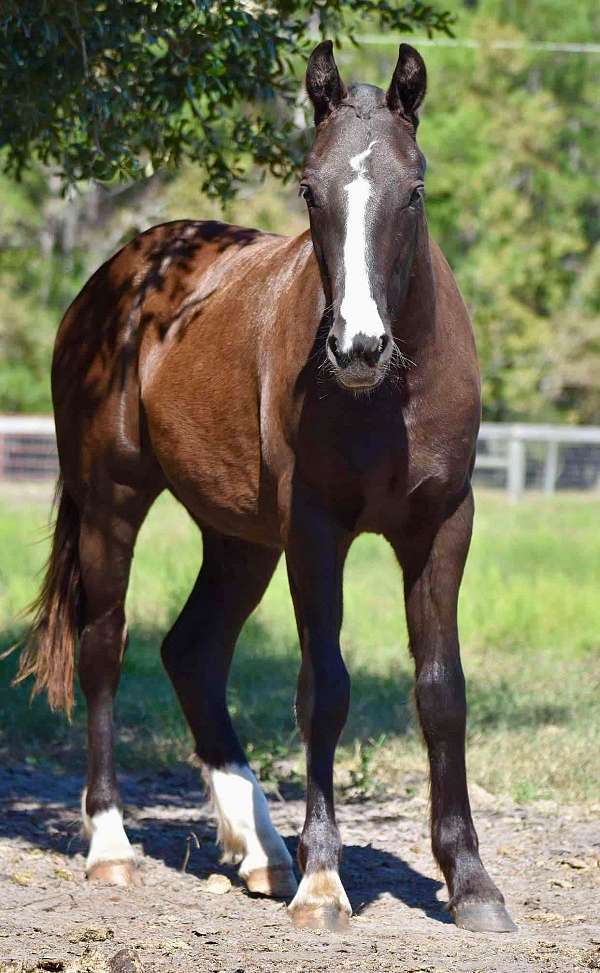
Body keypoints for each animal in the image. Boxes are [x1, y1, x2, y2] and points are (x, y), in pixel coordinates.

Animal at [18, 41, 516, 932]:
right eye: (310, 189)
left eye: (414, 187)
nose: (357, 346)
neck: (389, 394)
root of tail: (122, 272)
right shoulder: (315, 531)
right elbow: (325, 689)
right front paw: (324, 882)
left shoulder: (441, 526)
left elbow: (441, 690)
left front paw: (471, 882)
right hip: (113, 502)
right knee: (105, 646)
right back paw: (113, 845)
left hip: (239, 539)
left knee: (192, 651)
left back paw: (260, 848)